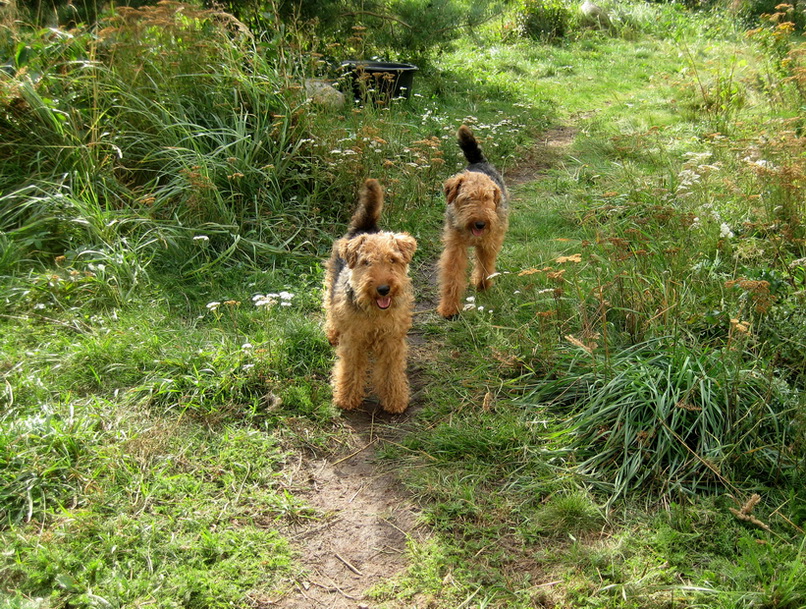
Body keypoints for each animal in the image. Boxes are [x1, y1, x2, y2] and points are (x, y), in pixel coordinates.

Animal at [323, 179, 417, 413]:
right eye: (366, 262)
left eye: (392, 259)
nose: (383, 289)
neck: (375, 313)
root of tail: (364, 226)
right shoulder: (354, 341)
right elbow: (349, 370)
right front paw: (346, 398)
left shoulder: (391, 341)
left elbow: (391, 373)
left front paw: (395, 400)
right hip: (331, 281)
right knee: (329, 308)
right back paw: (332, 333)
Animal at [437, 125, 509, 318]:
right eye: (467, 198)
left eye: (487, 198)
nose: (480, 224)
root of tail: (478, 162)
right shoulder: (455, 248)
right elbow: (453, 275)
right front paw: (450, 308)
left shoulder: (488, 243)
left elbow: (485, 265)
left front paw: (483, 285)